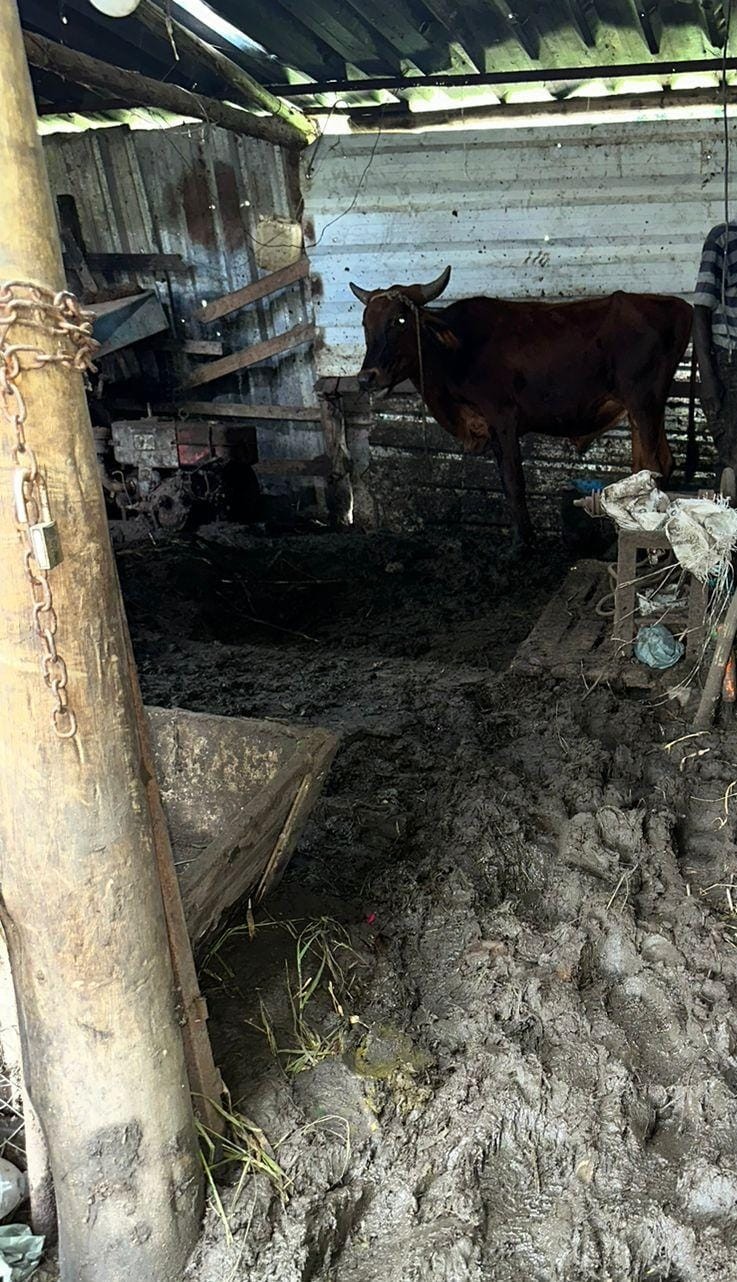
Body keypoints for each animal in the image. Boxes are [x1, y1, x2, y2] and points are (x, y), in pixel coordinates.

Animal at [351, 270, 692, 541]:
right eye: (365, 322)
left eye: (400, 320)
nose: (366, 377)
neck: (458, 351)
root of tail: (677, 305)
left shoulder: (503, 418)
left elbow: (513, 481)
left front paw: (522, 542)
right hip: (647, 408)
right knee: (653, 464)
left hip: (643, 402)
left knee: (654, 464)